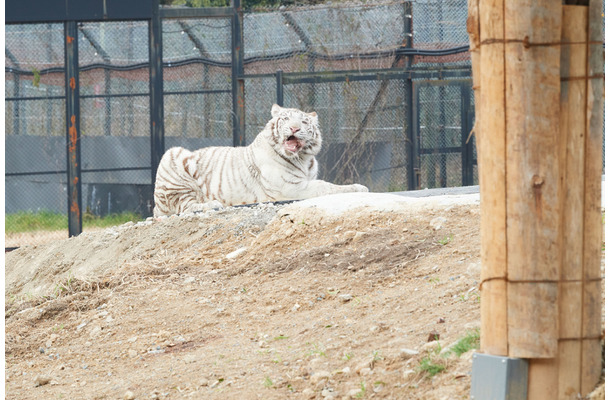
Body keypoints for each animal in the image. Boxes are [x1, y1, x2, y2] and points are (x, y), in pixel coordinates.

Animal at [154, 103, 368, 216]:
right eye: (286, 119)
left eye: (304, 122)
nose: (294, 128)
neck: (304, 159)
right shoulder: (290, 187)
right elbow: (326, 186)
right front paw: (359, 187)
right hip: (173, 157)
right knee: (185, 206)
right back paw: (212, 204)